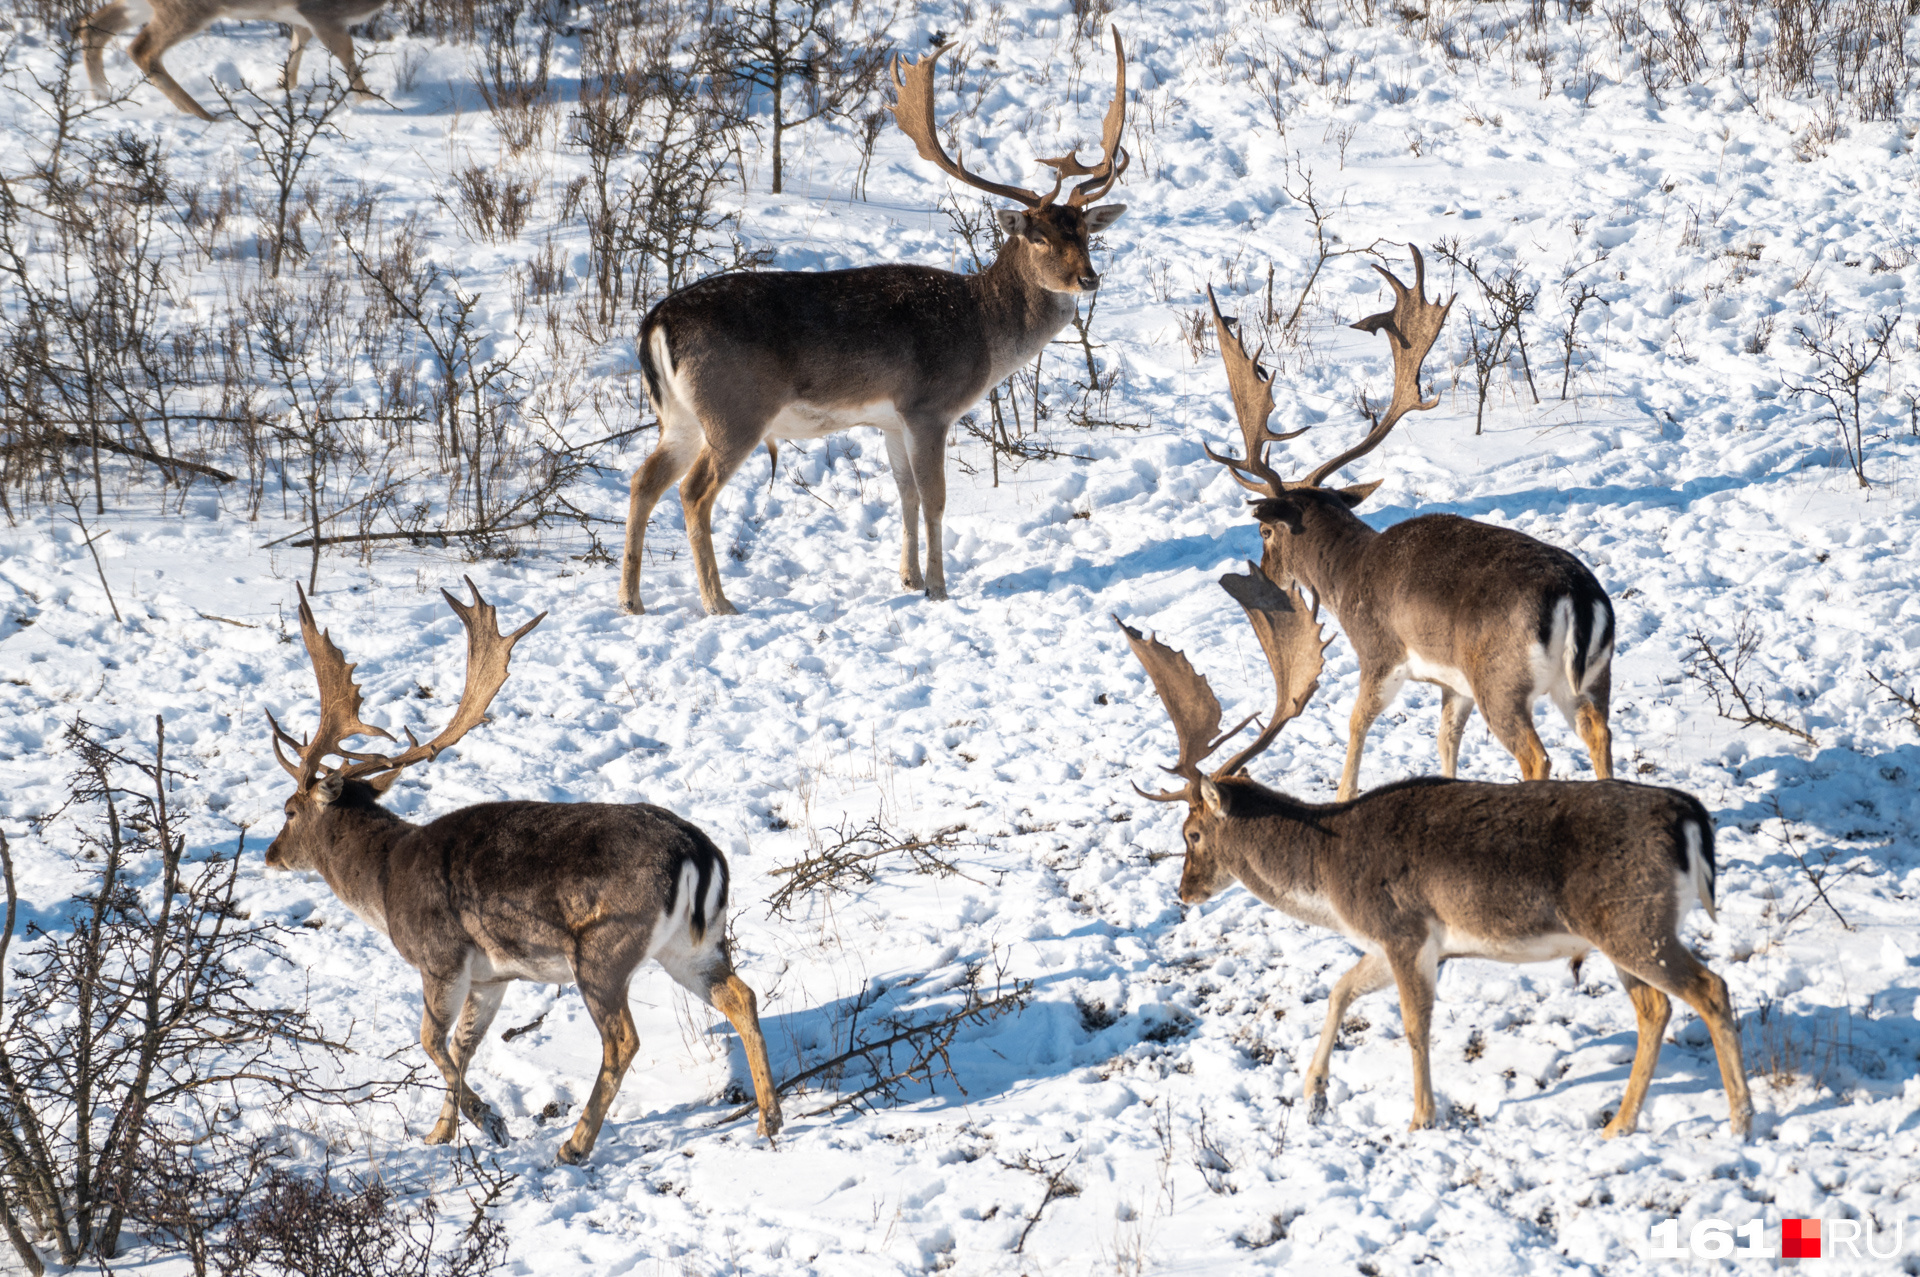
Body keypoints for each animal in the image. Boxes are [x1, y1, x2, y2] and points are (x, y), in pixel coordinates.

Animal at [82, 0, 384, 121]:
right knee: (141, 49)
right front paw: (369, 101)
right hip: (189, 8)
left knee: (93, 24)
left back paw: (101, 95)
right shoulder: (324, 14)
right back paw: (205, 115)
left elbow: (297, 48)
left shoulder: (302, 19)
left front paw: (283, 87)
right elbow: (347, 57)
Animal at [266, 583, 783, 1159]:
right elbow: (463, 1046)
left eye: (289, 810)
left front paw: (489, 1122)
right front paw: (440, 1133)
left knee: (623, 1038)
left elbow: (430, 1040)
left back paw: (575, 1145)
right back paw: (769, 1120)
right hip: (694, 946)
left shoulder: (440, 956)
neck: (384, 882)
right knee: (742, 996)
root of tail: (697, 852)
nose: (270, 853)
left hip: (603, 948)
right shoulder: (492, 975)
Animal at [614, 26, 1128, 614]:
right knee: (693, 491)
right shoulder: (928, 405)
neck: (981, 329)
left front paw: (907, 578)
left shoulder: (889, 419)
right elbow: (935, 499)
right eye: (1038, 236)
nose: (1088, 279)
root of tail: (656, 322)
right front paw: (938, 588)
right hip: (733, 408)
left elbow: (905, 495)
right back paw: (718, 602)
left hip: (679, 414)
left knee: (643, 480)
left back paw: (631, 600)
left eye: (1083, 232)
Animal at [1121, 568, 1751, 1136]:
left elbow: (1413, 1025)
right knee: (1656, 1008)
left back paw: (1738, 1121)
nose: (1184, 891)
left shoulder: (1403, 928)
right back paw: (1621, 1124)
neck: (1329, 877)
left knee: (1708, 989)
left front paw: (1421, 1117)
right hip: (1626, 930)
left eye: (1191, 834)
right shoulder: (1405, 941)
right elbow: (1340, 988)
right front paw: (1314, 1096)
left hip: (1631, 922)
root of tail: (1690, 821)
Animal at [1205, 249, 1612, 798]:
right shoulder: (1451, 683)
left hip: (1500, 678)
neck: (1348, 573)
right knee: (1599, 733)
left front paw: (1344, 793)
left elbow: (1356, 723)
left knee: (1537, 755)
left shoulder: (1379, 650)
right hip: (1591, 679)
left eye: (1265, 531)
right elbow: (1445, 737)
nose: (1270, 575)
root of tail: (1579, 598)